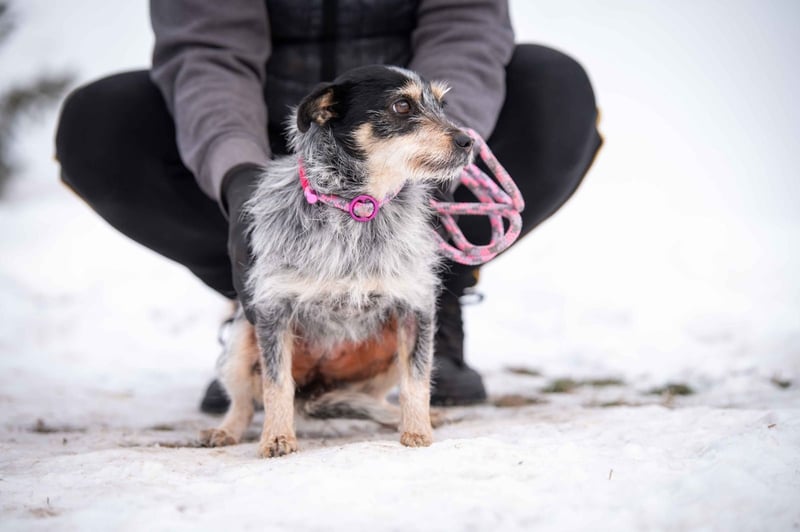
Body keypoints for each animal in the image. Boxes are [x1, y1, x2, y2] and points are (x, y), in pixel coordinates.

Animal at [199, 65, 474, 458]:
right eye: (402, 105)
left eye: (441, 103)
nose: (468, 141)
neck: (358, 208)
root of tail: (318, 392)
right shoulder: (272, 310)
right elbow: (276, 384)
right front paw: (277, 438)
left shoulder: (415, 309)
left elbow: (417, 381)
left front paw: (418, 431)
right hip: (239, 342)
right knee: (243, 402)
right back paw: (226, 430)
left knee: (379, 396)